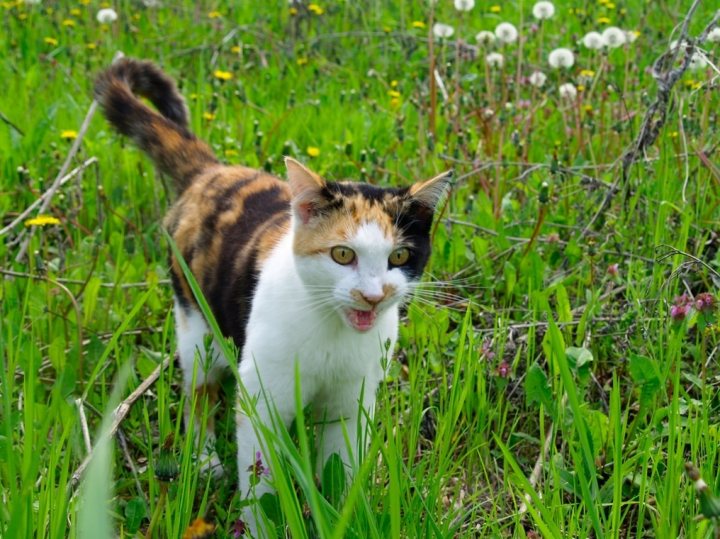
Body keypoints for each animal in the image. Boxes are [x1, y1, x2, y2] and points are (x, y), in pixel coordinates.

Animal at [95, 56, 452, 532]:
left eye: (399, 256)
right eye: (343, 254)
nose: (374, 295)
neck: (330, 331)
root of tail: (213, 171)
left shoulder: (352, 401)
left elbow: (341, 470)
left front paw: (342, 517)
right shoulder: (261, 399)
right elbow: (260, 483)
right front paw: (261, 526)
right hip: (195, 322)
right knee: (199, 389)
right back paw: (205, 459)